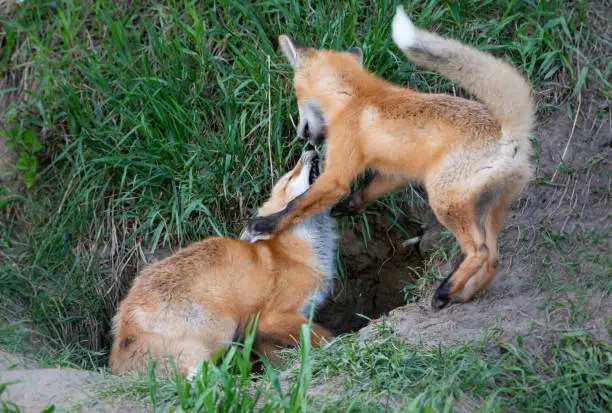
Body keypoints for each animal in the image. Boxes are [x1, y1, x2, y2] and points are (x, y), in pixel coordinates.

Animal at [112, 149, 338, 376]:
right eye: (290, 178)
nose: (309, 149)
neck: (299, 252)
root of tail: (125, 322)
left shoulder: (261, 335)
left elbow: (276, 360)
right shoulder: (271, 318)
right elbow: (322, 335)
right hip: (224, 328)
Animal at [244, 7, 536, 308]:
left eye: (296, 95)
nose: (301, 134)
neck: (354, 97)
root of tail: (511, 133)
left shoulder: (337, 173)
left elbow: (297, 203)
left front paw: (264, 225)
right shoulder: (397, 173)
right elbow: (365, 191)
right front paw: (343, 208)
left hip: (443, 201)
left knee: (479, 251)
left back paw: (444, 290)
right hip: (490, 208)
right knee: (494, 260)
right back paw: (464, 294)